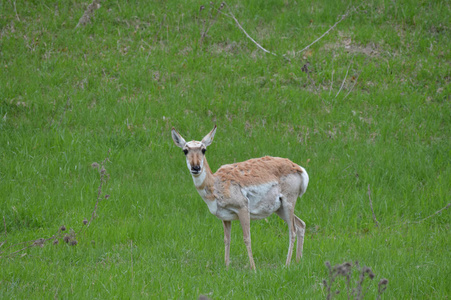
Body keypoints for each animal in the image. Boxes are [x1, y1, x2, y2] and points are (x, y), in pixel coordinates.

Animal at [171, 125, 308, 270]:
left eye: (204, 149)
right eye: (185, 150)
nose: (196, 167)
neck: (215, 184)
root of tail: (298, 167)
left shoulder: (242, 208)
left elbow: (247, 238)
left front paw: (253, 269)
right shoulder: (225, 217)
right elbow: (227, 239)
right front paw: (226, 266)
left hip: (288, 203)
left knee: (292, 230)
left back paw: (287, 264)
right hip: (280, 209)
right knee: (301, 224)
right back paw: (298, 261)